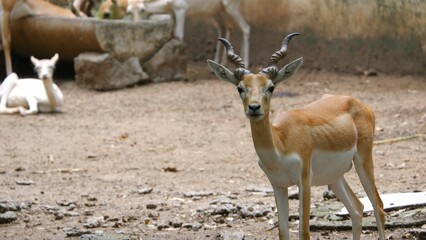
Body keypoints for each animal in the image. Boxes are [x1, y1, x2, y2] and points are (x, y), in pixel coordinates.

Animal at [207, 32, 386, 239]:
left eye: (271, 87)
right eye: (240, 88)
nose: (254, 107)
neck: (281, 144)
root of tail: (358, 103)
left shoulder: (304, 180)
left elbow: (304, 231)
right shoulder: (278, 185)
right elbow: (283, 231)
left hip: (363, 162)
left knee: (378, 206)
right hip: (334, 177)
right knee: (357, 208)